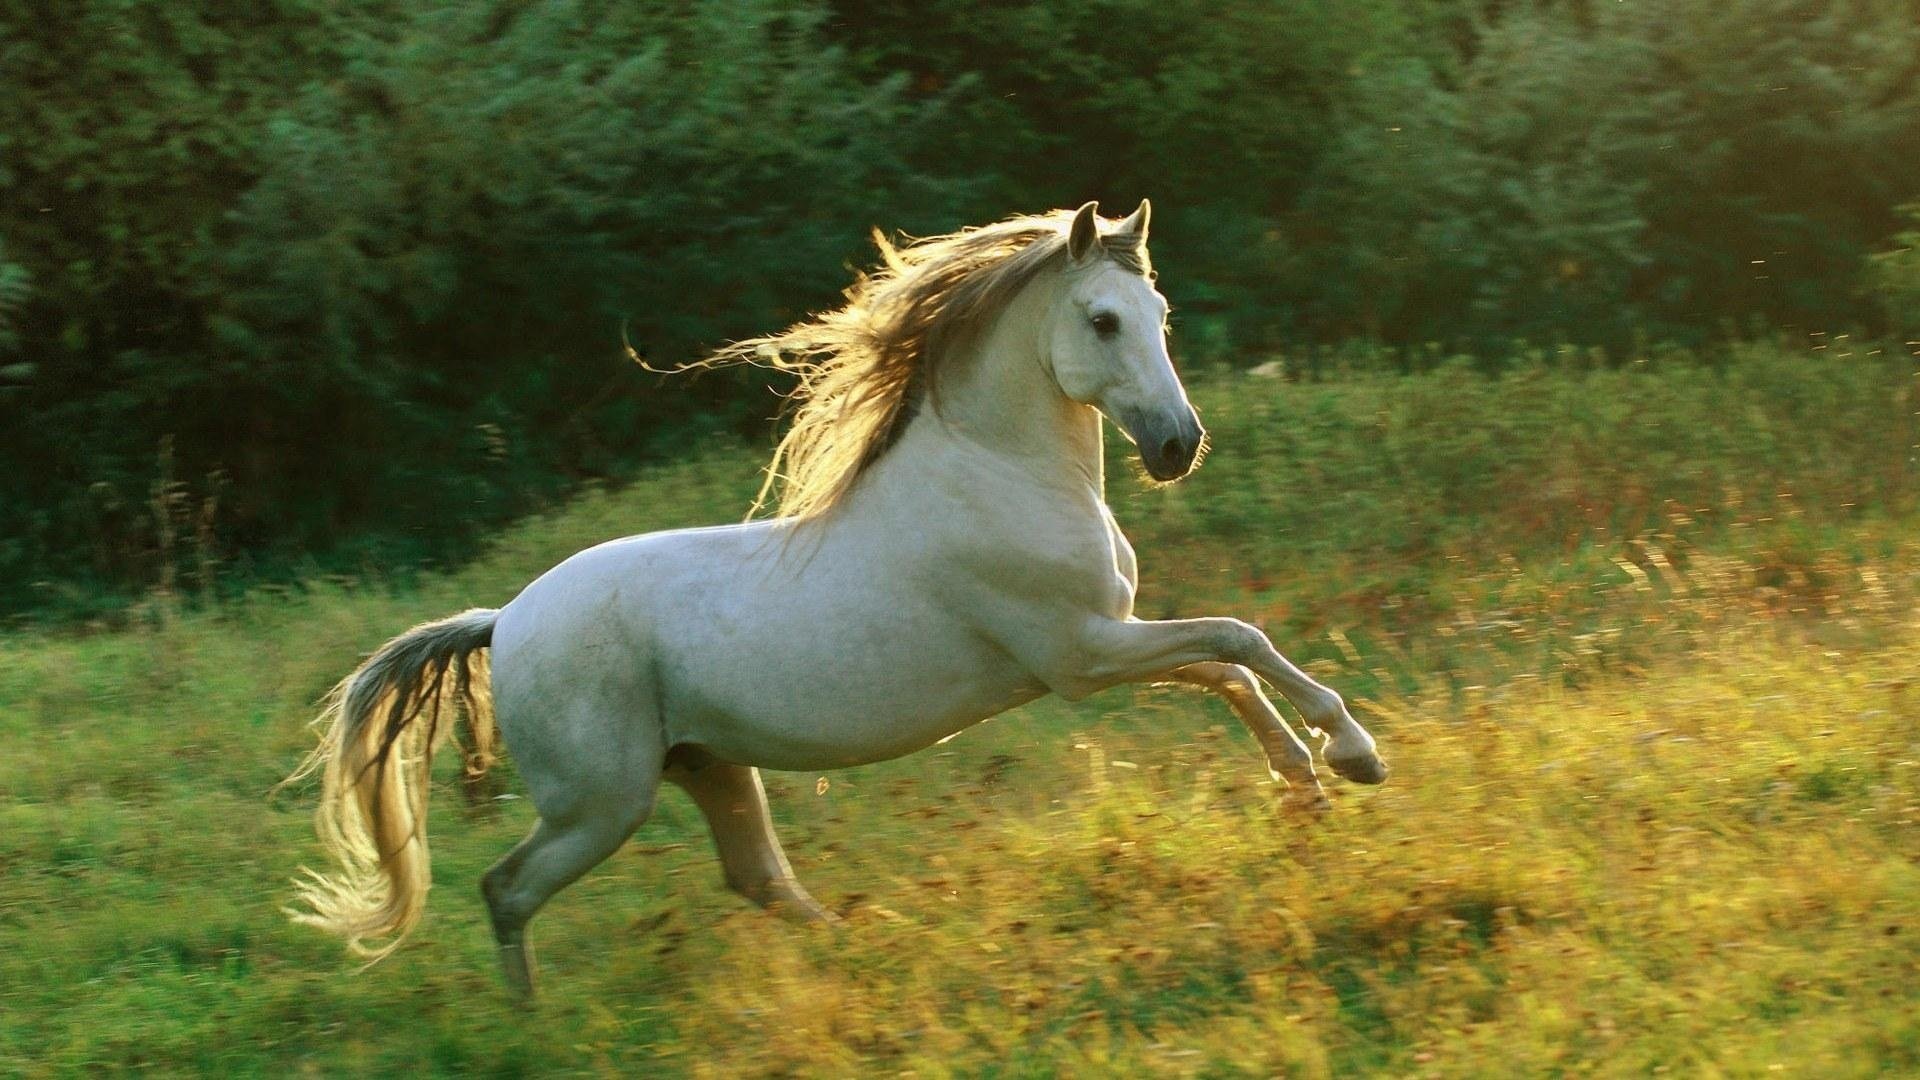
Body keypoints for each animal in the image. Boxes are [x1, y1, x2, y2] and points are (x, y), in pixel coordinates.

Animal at [285, 200, 1389, 1002]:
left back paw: (872, 950)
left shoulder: (1103, 644)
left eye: (1160, 318)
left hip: (707, 766)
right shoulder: (1080, 655)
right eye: (1103, 320)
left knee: (757, 879)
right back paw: (533, 1022)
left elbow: (1227, 668)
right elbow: (1238, 641)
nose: (1177, 446)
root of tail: (503, 621)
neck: (999, 473)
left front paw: (1307, 785)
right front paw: (1352, 753)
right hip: (601, 802)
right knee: (507, 888)